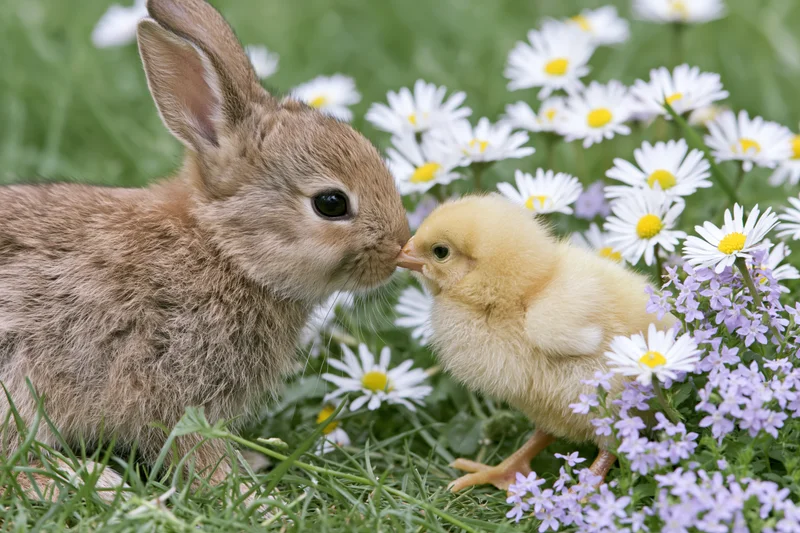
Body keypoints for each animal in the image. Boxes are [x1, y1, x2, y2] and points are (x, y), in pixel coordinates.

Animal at [0, 0, 409, 503]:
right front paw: (252, 496)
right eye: (331, 203)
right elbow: (194, 448)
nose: (399, 248)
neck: (224, 249)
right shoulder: (172, 383)